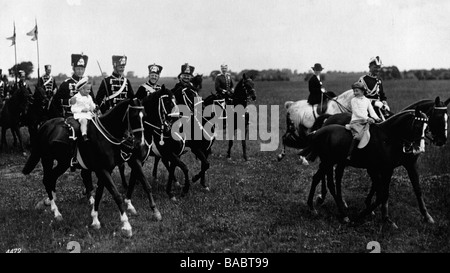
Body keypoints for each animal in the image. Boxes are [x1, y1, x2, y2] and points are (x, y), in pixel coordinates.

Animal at [22, 98, 147, 236]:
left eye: (144, 116)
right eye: (134, 116)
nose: (141, 144)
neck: (104, 136)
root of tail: (45, 125)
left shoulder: (105, 170)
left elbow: (99, 194)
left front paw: (95, 220)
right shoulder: (102, 170)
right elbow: (116, 195)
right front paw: (126, 225)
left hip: (63, 163)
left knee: (52, 179)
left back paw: (51, 202)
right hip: (47, 159)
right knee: (47, 180)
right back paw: (56, 211)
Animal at [304, 96, 448, 224]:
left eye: (427, 126)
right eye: (438, 117)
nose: (442, 140)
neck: (389, 136)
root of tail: (323, 127)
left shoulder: (405, 165)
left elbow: (415, 189)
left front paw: (426, 216)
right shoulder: (379, 168)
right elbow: (382, 192)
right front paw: (373, 213)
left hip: (335, 162)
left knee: (327, 178)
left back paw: (328, 204)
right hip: (328, 161)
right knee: (326, 180)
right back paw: (326, 204)